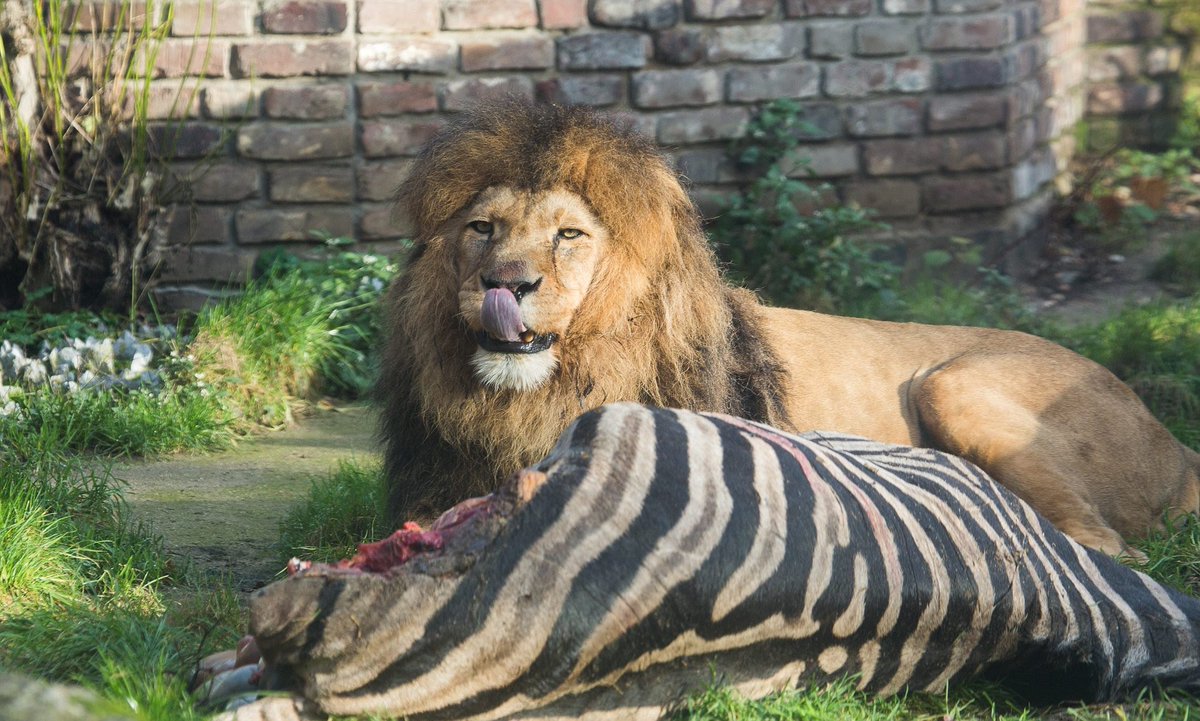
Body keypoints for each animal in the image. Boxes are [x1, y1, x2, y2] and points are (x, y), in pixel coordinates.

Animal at [376, 98, 1200, 556]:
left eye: (569, 235)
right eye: (483, 228)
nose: (504, 284)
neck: (532, 398)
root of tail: (1176, 444)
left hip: (954, 384)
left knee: (1108, 548)